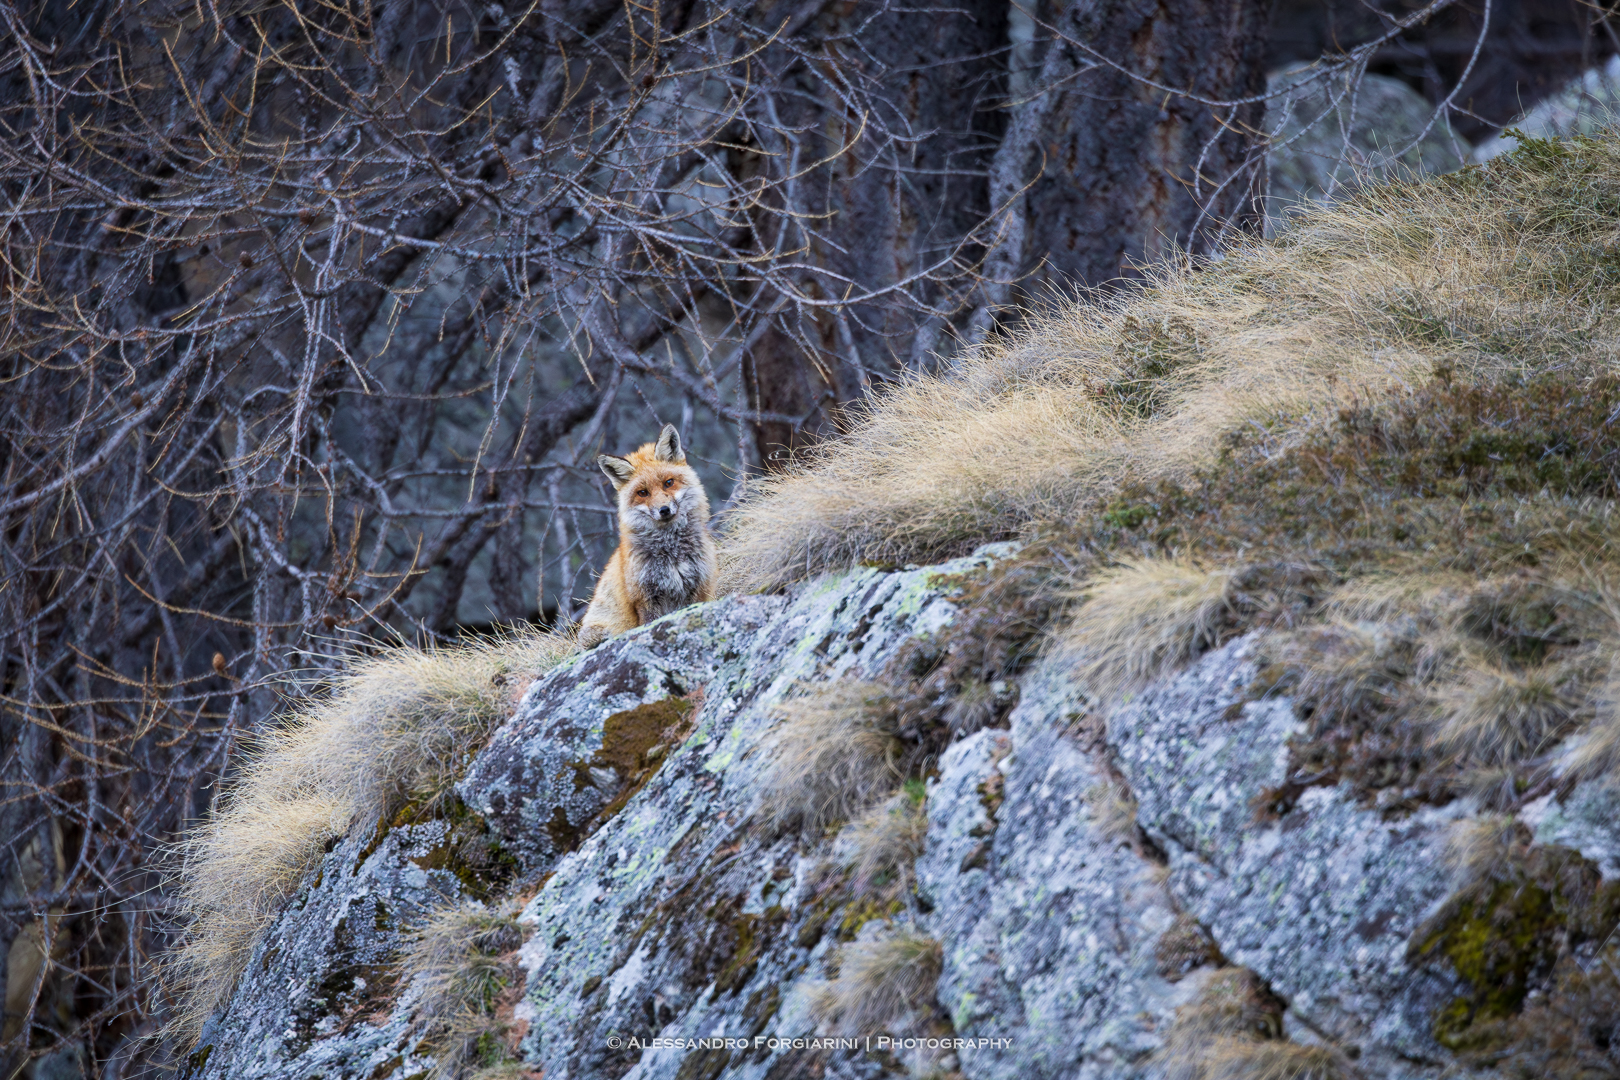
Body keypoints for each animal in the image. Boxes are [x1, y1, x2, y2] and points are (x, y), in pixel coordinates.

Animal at [577, 424, 719, 648]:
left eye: (668, 483)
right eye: (642, 493)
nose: (664, 510)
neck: (672, 554)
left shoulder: (699, 588)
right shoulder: (644, 598)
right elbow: (648, 625)